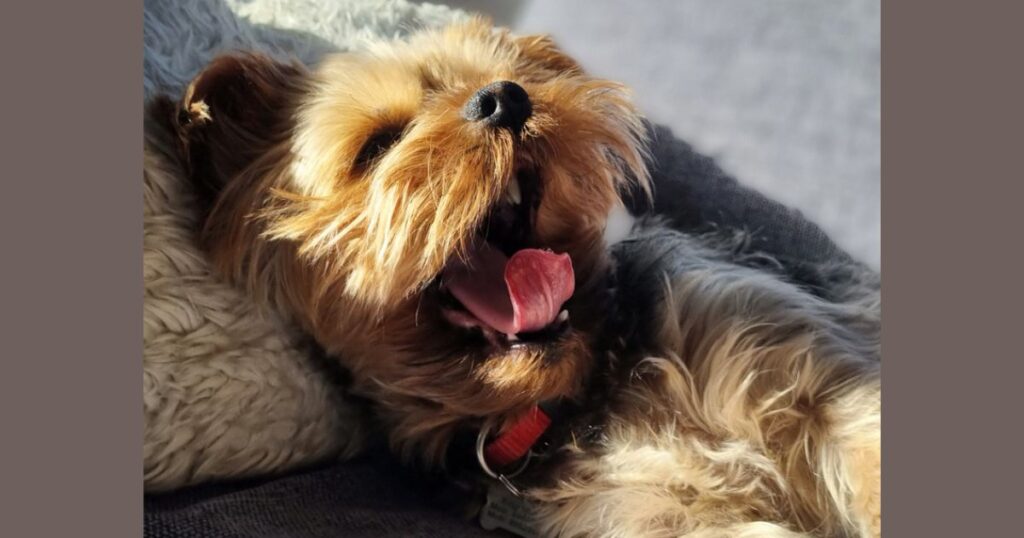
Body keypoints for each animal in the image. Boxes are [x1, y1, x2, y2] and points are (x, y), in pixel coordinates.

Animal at [157, 17, 880, 536]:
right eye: (376, 146)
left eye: (514, 77)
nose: (505, 98)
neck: (578, 395)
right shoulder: (655, 514)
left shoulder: (802, 363)